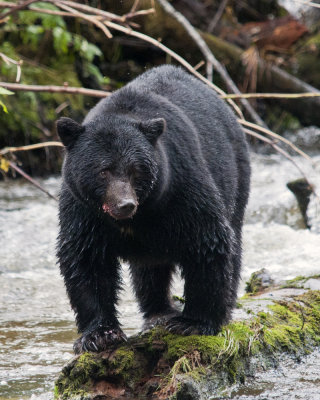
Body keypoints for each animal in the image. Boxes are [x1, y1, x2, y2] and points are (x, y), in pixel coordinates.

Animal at [56, 65, 250, 354]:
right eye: (103, 171)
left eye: (135, 170)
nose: (125, 204)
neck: (138, 217)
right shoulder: (83, 210)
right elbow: (85, 257)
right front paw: (99, 334)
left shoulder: (180, 187)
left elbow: (207, 240)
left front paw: (193, 322)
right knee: (149, 269)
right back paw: (157, 312)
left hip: (235, 177)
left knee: (233, 240)